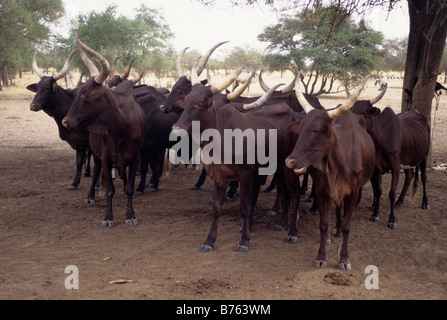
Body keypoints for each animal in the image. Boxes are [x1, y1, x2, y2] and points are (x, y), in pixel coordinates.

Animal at [62, 38, 146, 228]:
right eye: (76, 93)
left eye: (86, 94)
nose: (66, 121)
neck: (121, 128)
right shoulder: (107, 158)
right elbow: (109, 190)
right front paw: (108, 217)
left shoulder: (136, 157)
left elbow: (130, 187)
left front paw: (130, 215)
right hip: (96, 154)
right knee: (96, 172)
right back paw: (90, 196)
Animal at [286, 75, 376, 270]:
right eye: (301, 128)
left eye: (315, 130)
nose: (290, 161)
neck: (338, 164)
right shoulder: (321, 189)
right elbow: (323, 222)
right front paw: (321, 257)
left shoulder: (354, 191)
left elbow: (347, 225)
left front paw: (344, 259)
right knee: (330, 209)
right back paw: (329, 237)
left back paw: (338, 232)